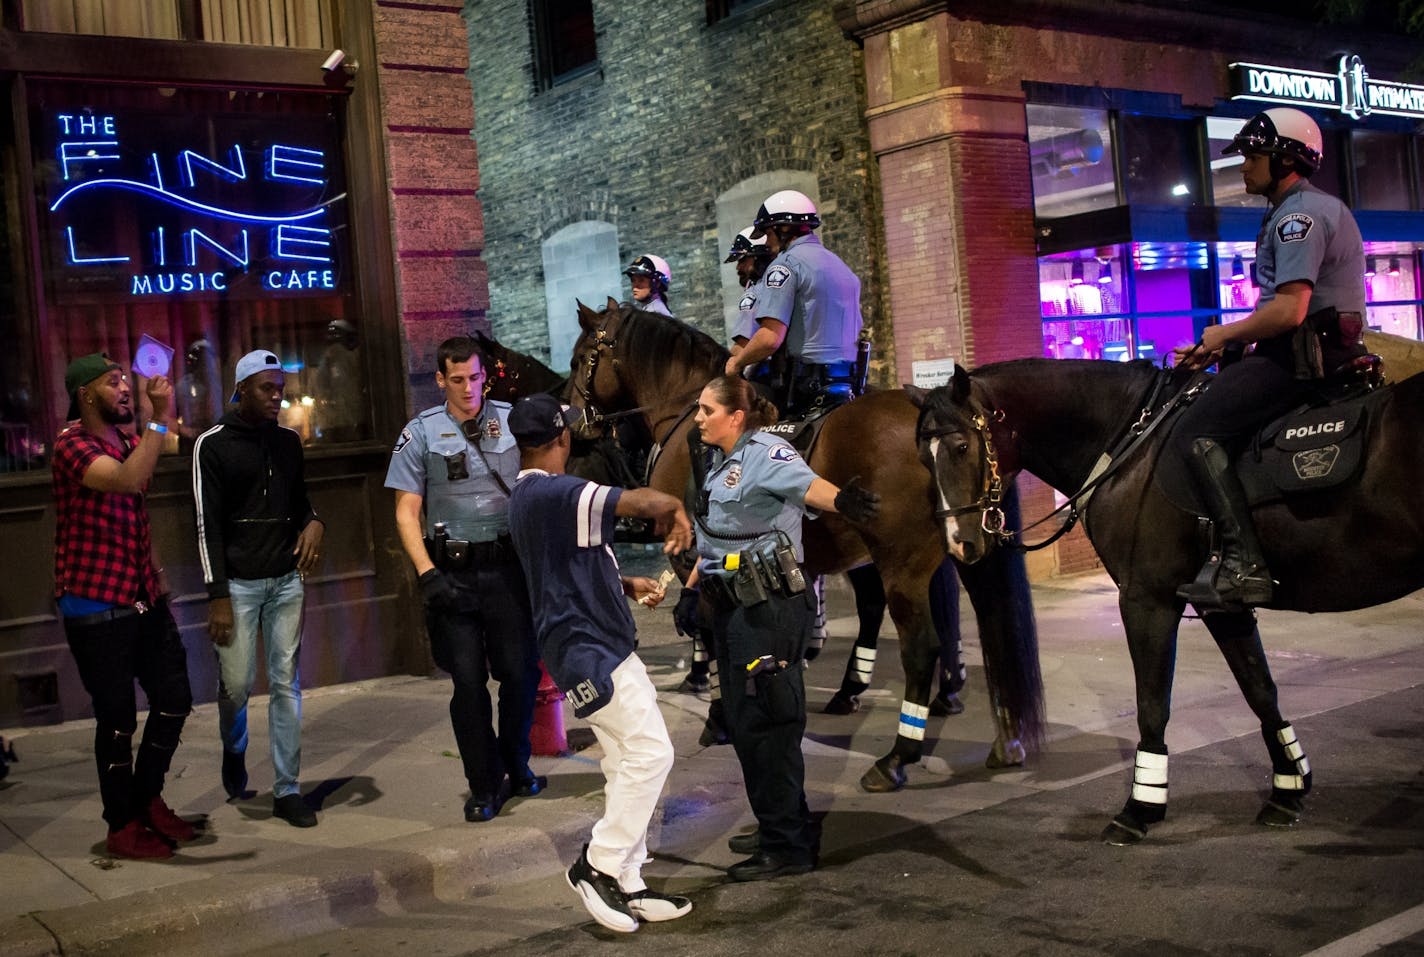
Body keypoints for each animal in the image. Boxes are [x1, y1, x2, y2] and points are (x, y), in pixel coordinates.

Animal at [569, 300, 1048, 791]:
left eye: (580, 358)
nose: (574, 422)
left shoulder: (695, 558)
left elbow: (708, 628)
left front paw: (718, 713)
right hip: (963, 548)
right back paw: (998, 734)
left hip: (903, 564)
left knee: (920, 647)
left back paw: (896, 756)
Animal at [911, 358, 1424, 843]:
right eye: (922, 458)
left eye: (961, 448)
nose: (960, 543)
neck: (1132, 445)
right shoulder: (1222, 606)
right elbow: (1260, 689)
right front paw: (1288, 789)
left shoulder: (1146, 600)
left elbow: (1153, 704)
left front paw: (1141, 806)